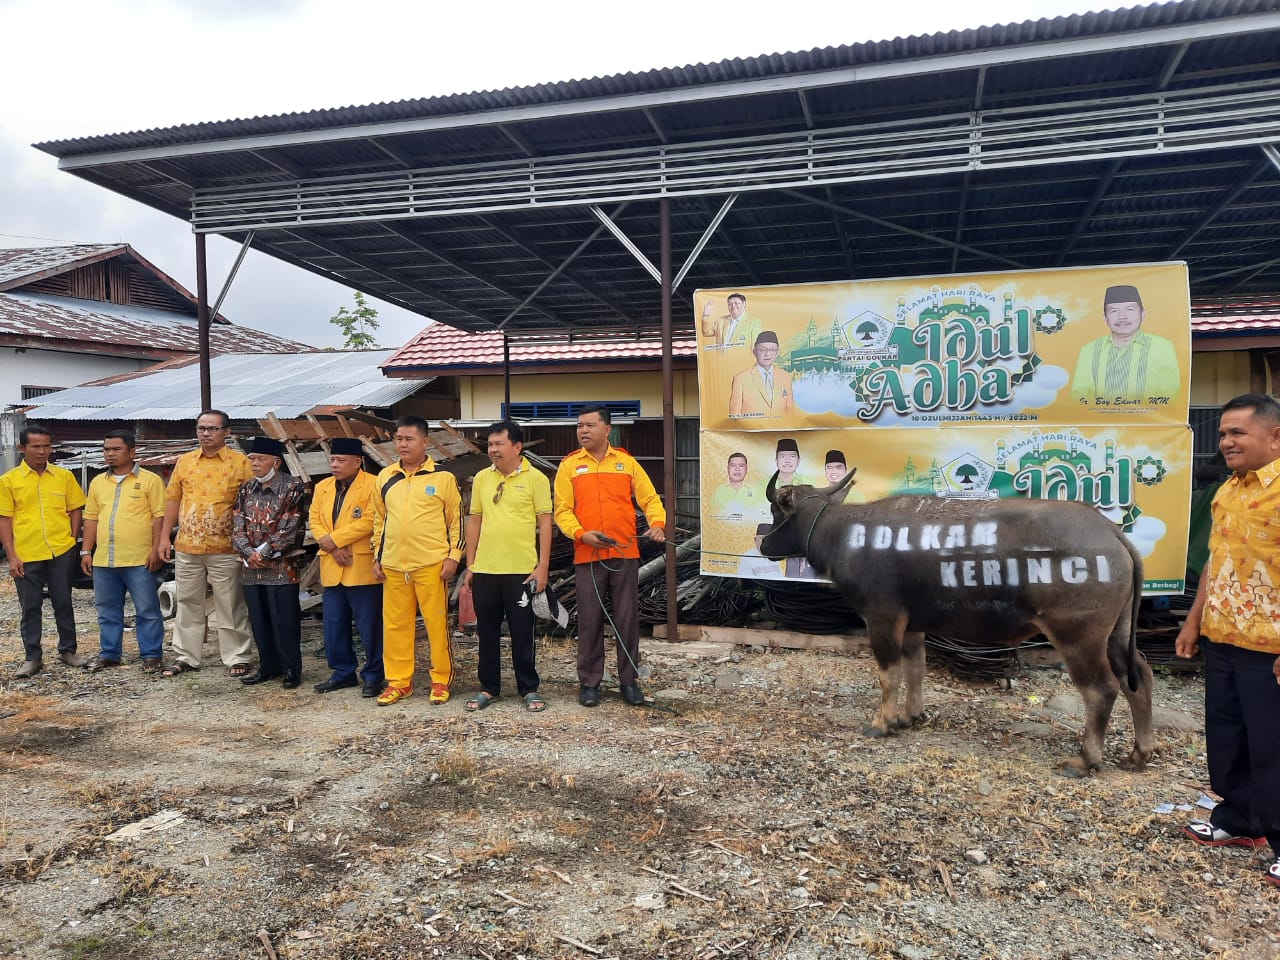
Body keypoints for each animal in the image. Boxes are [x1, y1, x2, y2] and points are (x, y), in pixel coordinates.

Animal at [757, 471, 1152, 778]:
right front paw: (911, 716)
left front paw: (883, 722)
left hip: (1078, 636)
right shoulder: (913, 624)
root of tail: (1112, 533)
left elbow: (889, 675)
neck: (846, 534)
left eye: (776, 509)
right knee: (1139, 677)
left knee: (1101, 689)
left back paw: (1085, 760)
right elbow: (916, 668)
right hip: (1116, 634)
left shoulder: (883, 619)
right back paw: (1140, 752)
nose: (762, 546)